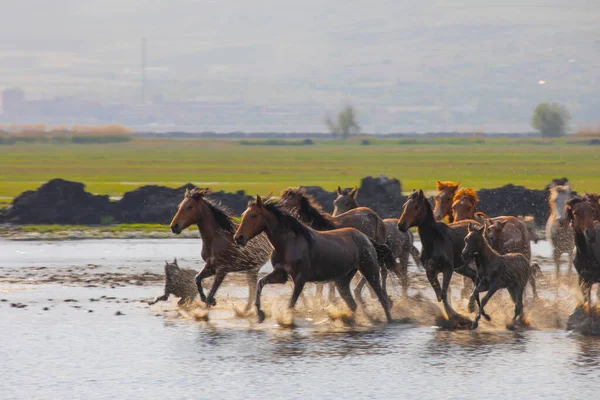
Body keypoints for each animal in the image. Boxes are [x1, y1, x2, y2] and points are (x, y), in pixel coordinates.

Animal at [234, 195, 394, 324]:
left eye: (254, 215)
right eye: (243, 215)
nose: (238, 238)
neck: (288, 244)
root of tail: (366, 238)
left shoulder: (300, 278)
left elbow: (291, 303)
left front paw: (286, 321)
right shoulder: (281, 275)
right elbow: (260, 283)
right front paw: (260, 314)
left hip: (370, 271)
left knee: (382, 299)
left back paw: (389, 321)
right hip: (343, 280)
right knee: (352, 304)